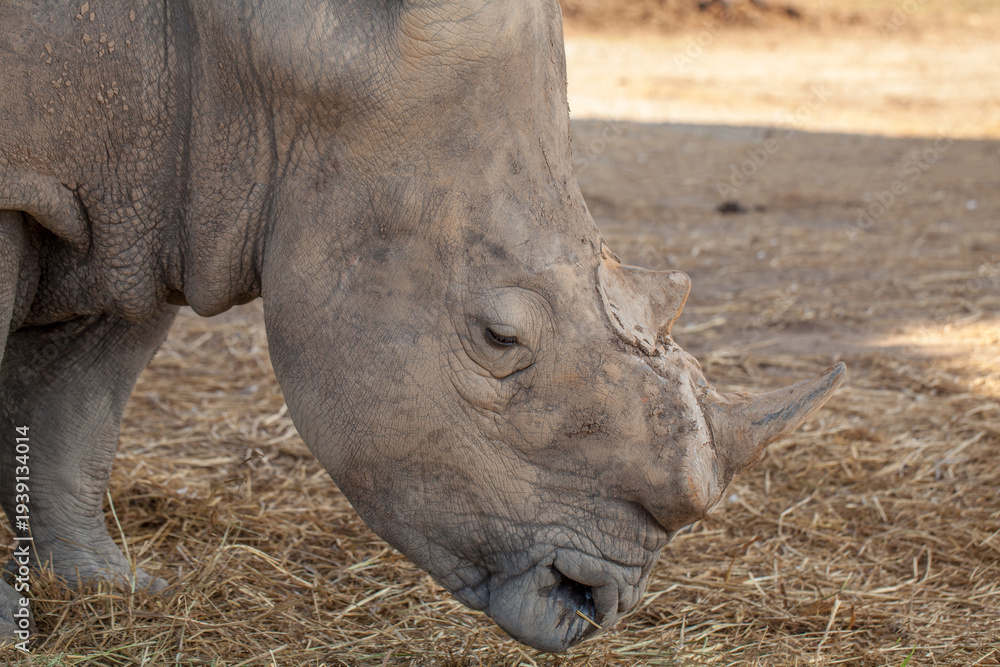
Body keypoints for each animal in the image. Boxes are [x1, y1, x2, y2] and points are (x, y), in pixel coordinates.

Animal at [0, 0, 844, 652]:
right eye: (499, 338)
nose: (589, 600)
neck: (257, 50)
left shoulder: (153, 213)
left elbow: (80, 414)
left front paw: (110, 589)